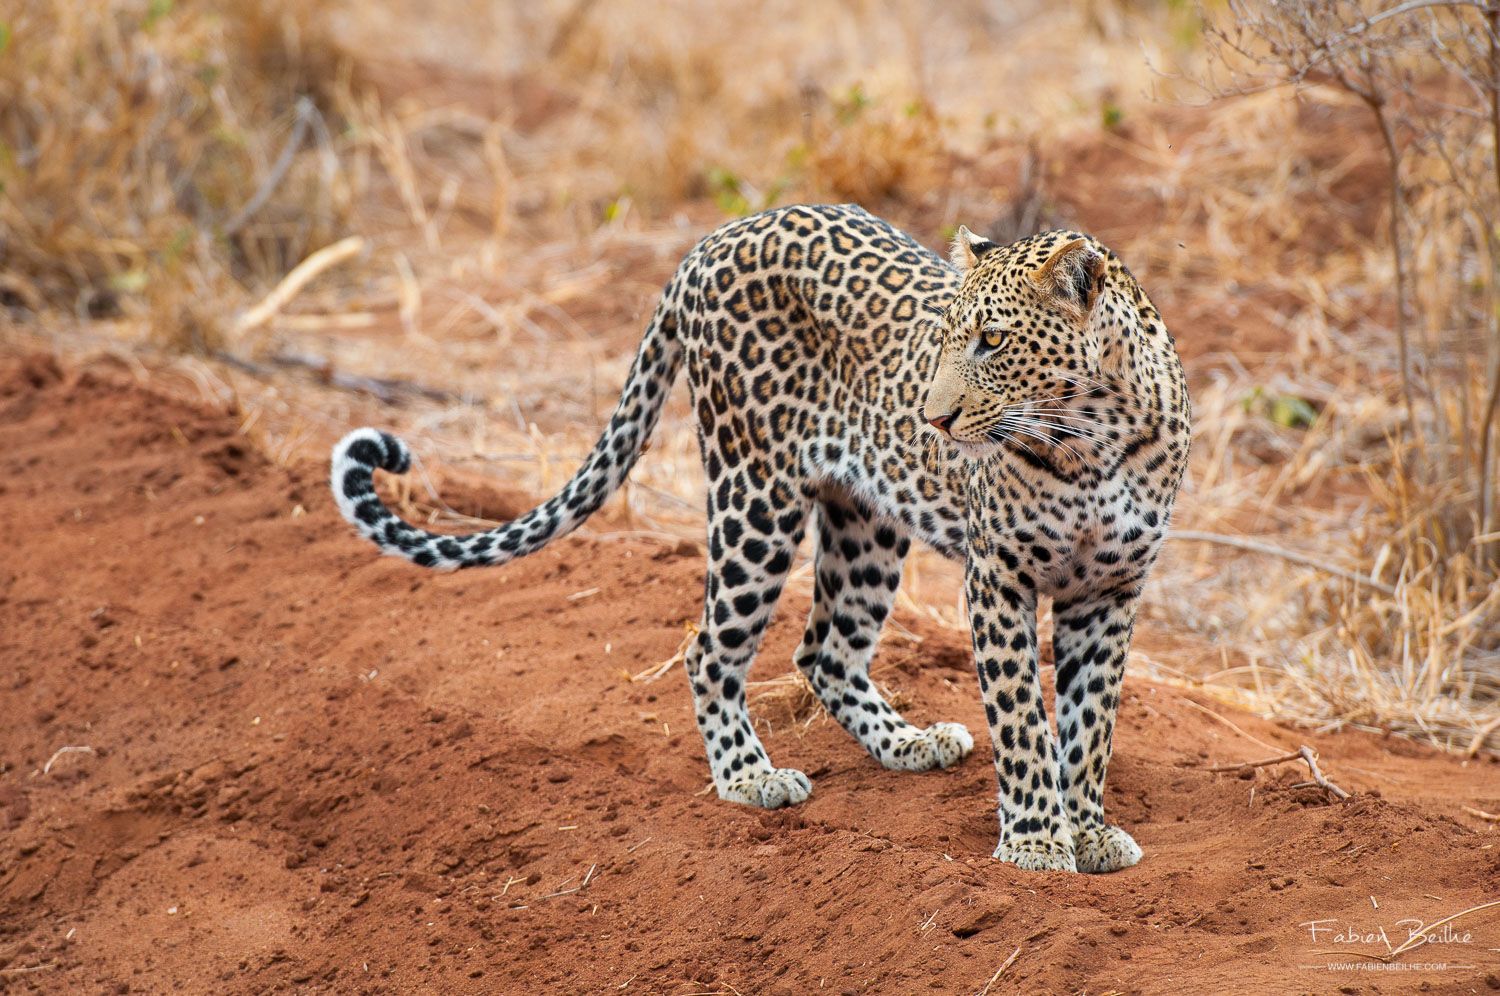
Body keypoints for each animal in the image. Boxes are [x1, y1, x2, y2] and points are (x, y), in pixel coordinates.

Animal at [328, 202, 1182, 870]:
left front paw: (1089, 831)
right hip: (754, 497)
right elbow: (1023, 720)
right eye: (944, 339)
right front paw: (1037, 842)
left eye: (994, 342)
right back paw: (749, 778)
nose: (933, 419)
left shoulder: (1112, 589)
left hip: (865, 521)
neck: (1087, 440)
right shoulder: (998, 577)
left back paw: (907, 744)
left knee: (825, 648)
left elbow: (1091, 723)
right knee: (710, 649)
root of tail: (711, 240)